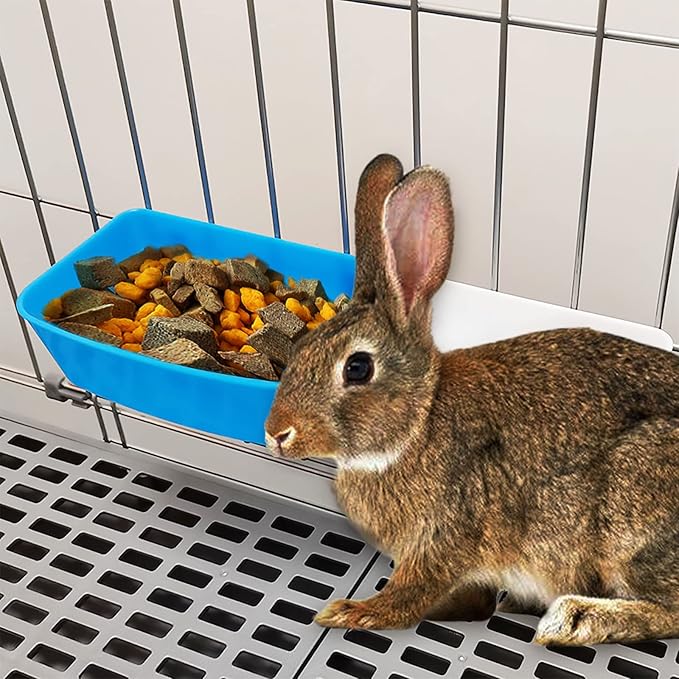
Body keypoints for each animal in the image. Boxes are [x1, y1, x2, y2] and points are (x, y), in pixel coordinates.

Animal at [265, 153, 679, 646]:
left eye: (358, 367)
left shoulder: (445, 536)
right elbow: (471, 598)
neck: (419, 424)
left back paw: (574, 619)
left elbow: (410, 591)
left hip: (630, 515)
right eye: (302, 347)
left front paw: (350, 612)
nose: (276, 432)